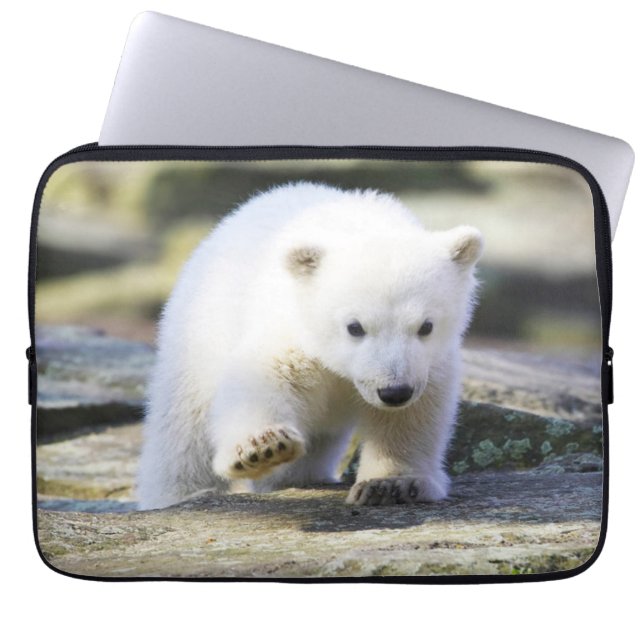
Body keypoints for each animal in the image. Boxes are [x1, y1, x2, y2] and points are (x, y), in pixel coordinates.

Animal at [137, 181, 483, 510]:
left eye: (426, 326)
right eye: (354, 327)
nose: (394, 391)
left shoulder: (428, 363)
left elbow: (412, 416)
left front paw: (390, 485)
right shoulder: (293, 327)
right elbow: (264, 376)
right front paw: (263, 447)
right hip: (199, 333)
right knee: (184, 430)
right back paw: (180, 494)